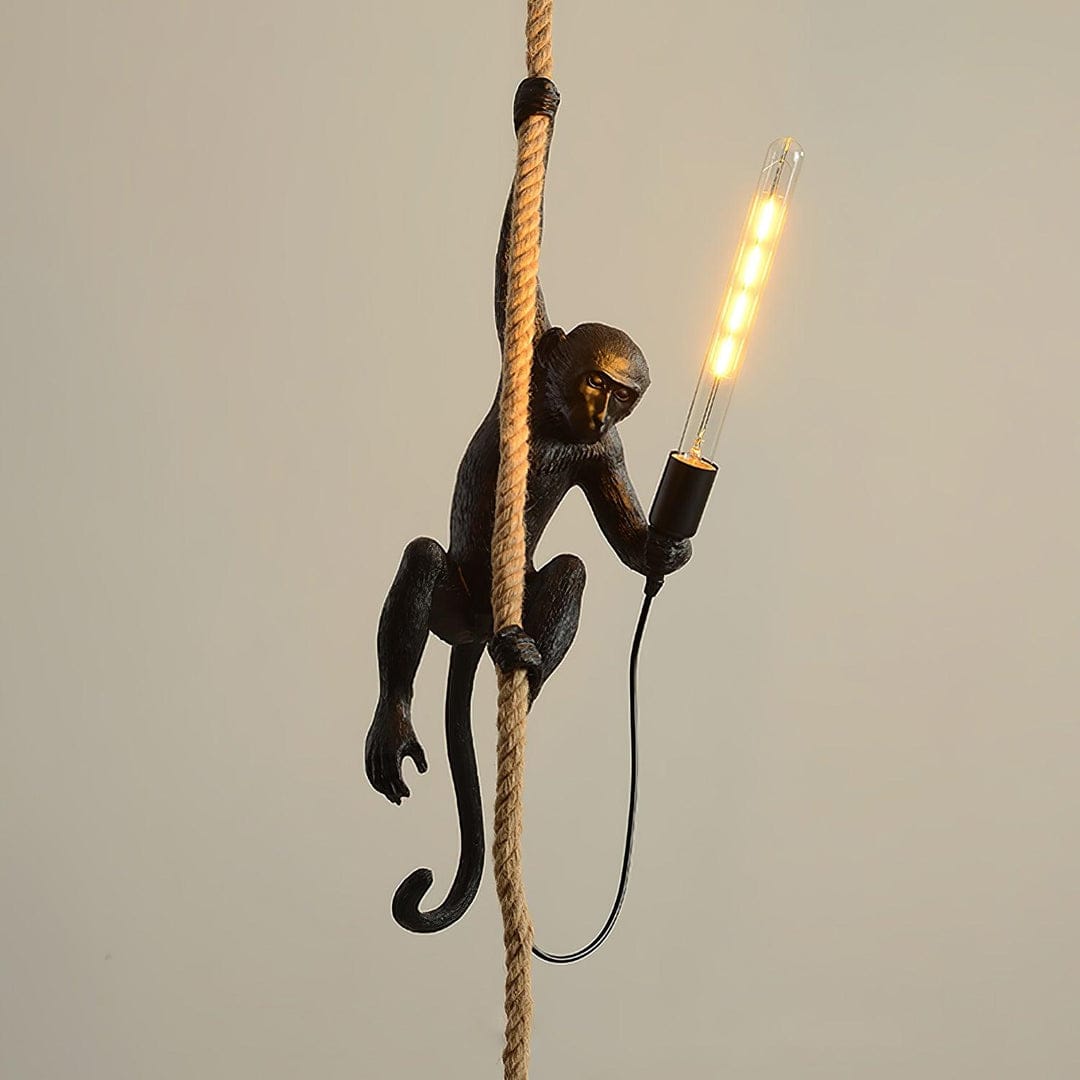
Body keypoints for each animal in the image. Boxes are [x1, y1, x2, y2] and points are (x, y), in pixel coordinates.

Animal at [365, 77, 692, 933]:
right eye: (597, 380)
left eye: (625, 396)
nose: (605, 407)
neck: (555, 422)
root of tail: (482, 629)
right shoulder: (532, 350)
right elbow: (516, 255)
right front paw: (534, 109)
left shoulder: (605, 453)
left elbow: (624, 546)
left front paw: (668, 550)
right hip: (454, 608)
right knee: (424, 561)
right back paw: (394, 719)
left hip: (500, 611)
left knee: (570, 569)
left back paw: (529, 669)